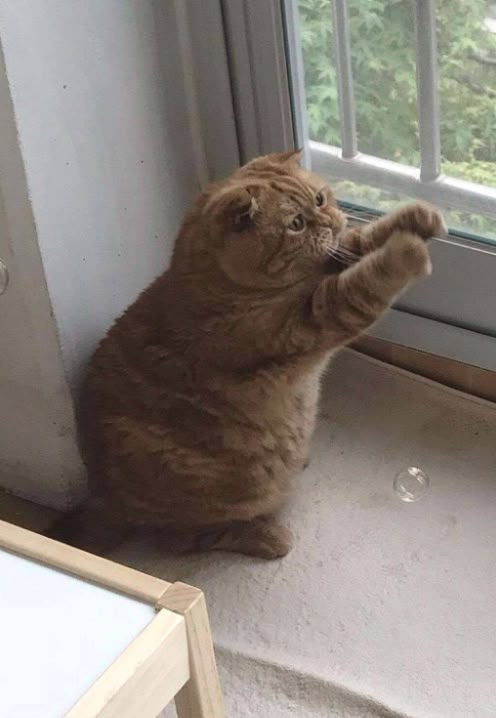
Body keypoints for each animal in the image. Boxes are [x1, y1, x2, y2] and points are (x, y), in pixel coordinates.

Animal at [70, 152, 446, 560]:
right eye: (296, 224)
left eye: (319, 199)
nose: (330, 219)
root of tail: (103, 498)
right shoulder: (313, 318)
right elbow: (369, 278)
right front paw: (407, 250)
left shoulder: (334, 258)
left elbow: (363, 237)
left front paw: (417, 218)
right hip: (234, 488)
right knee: (182, 539)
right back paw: (266, 536)